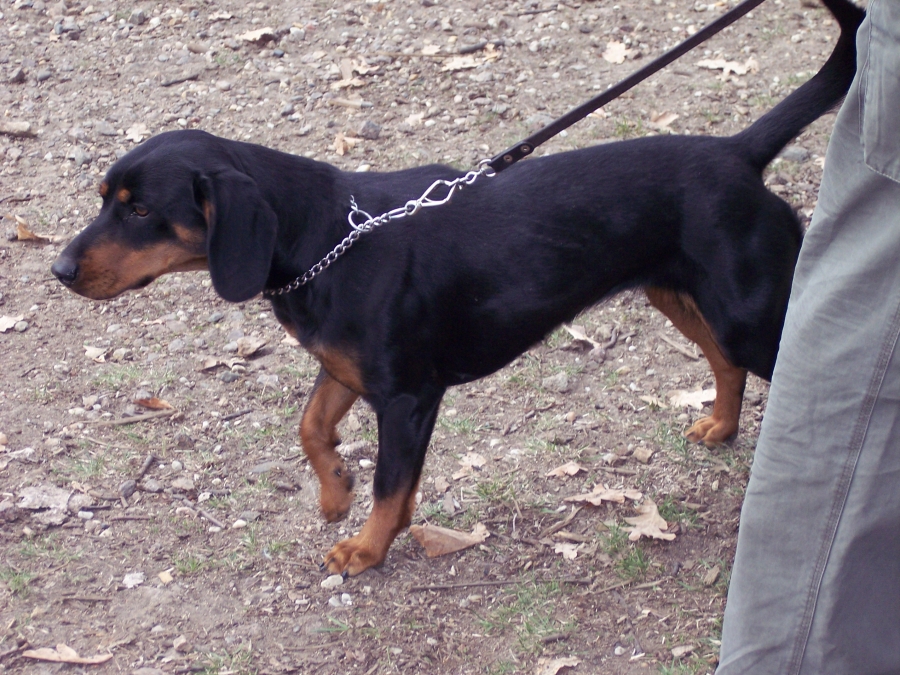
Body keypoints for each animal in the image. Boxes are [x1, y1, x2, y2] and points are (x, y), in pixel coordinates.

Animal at [52, 0, 863, 576]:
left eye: (139, 210)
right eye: (106, 199)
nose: (58, 270)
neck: (325, 238)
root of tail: (738, 152)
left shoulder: (408, 395)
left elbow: (392, 485)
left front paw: (365, 548)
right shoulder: (346, 367)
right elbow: (311, 427)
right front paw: (334, 490)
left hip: (751, 309)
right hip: (684, 296)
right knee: (724, 364)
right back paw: (720, 427)